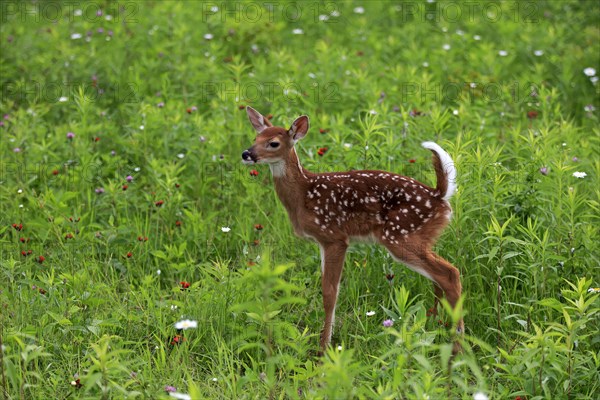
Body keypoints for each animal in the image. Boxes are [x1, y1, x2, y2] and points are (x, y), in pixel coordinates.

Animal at [243, 106, 464, 354]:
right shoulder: (323, 242)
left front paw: (323, 350)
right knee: (438, 278)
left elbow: (330, 292)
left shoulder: (334, 237)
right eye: (255, 138)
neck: (303, 195)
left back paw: (457, 345)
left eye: (273, 143)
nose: (246, 154)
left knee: (449, 273)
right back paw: (433, 326)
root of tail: (440, 196)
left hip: (400, 234)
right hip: (421, 237)